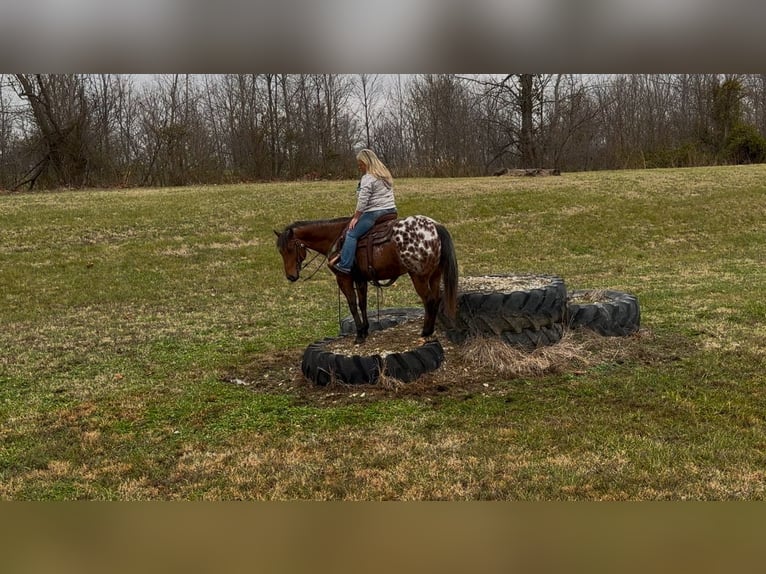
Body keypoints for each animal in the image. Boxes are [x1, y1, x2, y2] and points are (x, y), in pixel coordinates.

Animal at [274, 214, 460, 344]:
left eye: (290, 248)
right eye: (280, 251)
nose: (291, 276)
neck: (336, 237)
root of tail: (435, 226)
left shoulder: (344, 278)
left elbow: (352, 304)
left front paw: (358, 336)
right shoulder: (361, 279)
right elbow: (362, 303)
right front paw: (365, 330)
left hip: (419, 277)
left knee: (429, 300)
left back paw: (425, 332)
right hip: (435, 275)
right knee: (436, 298)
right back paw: (429, 331)